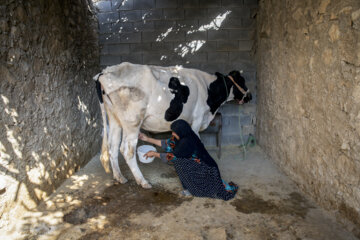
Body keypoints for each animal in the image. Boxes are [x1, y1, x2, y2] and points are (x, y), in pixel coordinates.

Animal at [93, 61, 250, 188]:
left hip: (114, 119)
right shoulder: (197, 119)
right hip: (132, 122)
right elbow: (198, 142)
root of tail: (106, 71)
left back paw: (119, 177)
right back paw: (143, 182)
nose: (250, 96)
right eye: (242, 81)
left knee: (113, 147)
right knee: (126, 150)